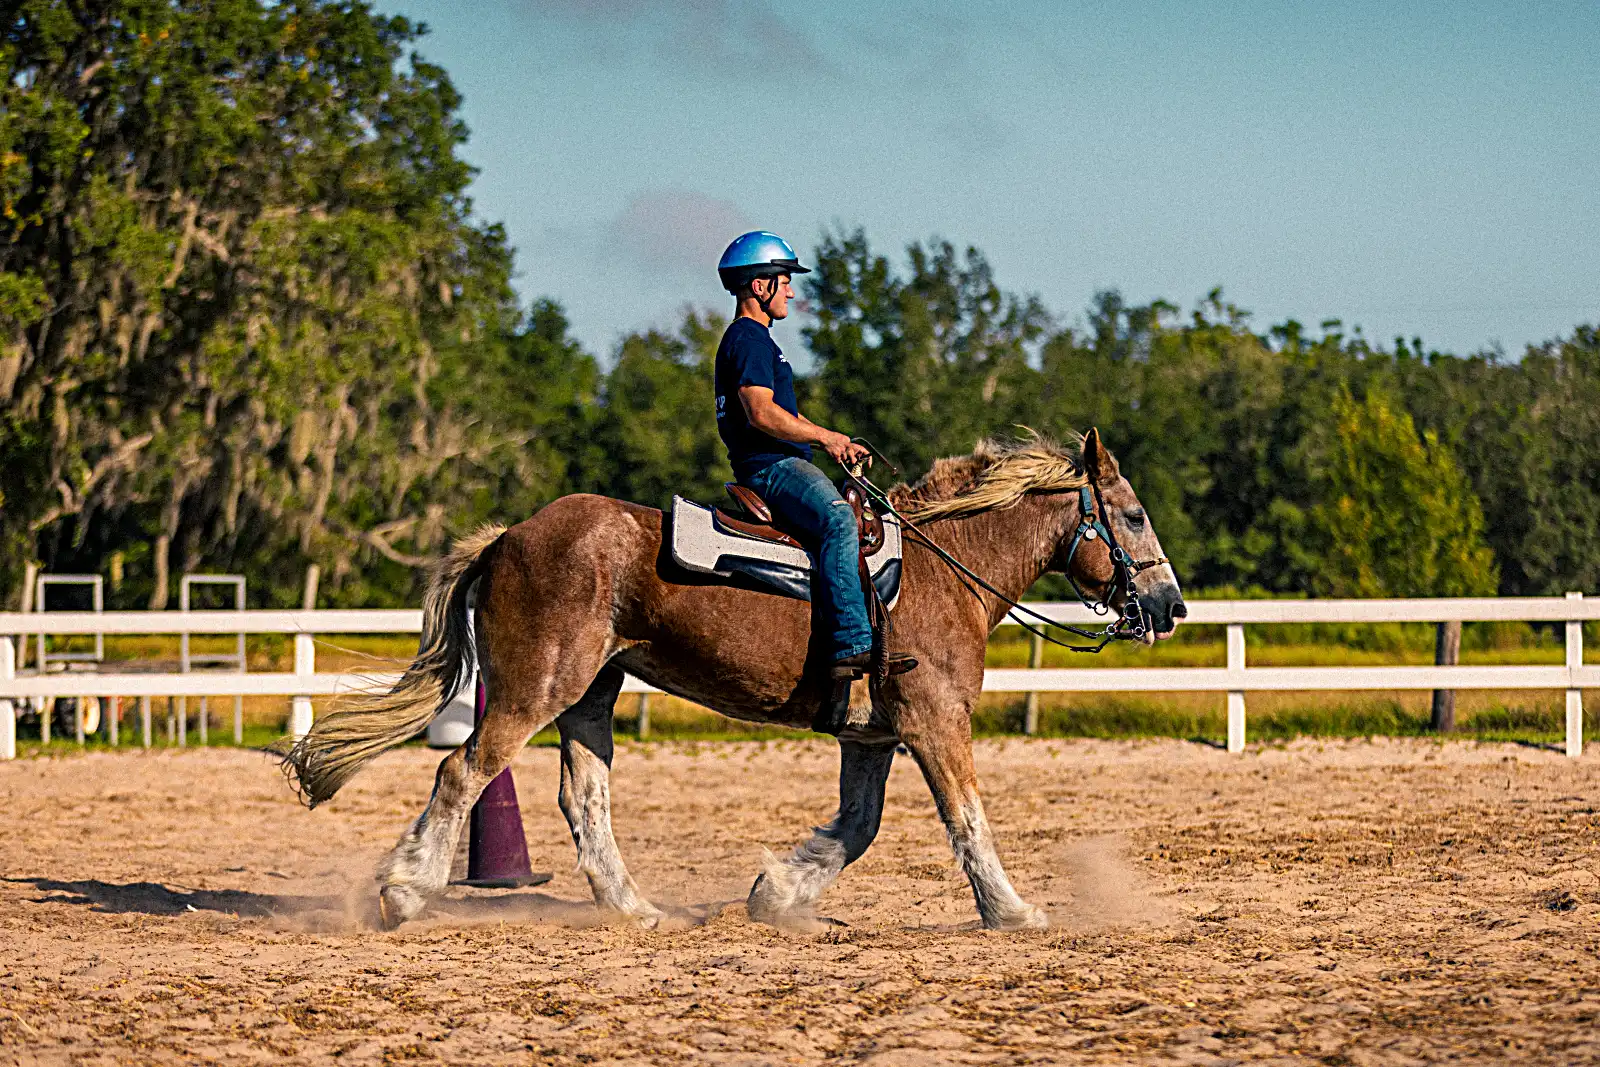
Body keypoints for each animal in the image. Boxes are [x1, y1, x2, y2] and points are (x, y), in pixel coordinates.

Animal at [277, 429, 1186, 932]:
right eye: (1133, 514)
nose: (1170, 604)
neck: (939, 570)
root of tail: (510, 536)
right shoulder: (934, 723)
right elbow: (967, 820)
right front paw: (1012, 910)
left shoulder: (874, 734)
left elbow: (858, 827)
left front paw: (776, 893)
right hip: (539, 686)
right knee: (462, 770)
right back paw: (405, 890)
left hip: (591, 697)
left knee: (583, 799)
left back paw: (634, 908)